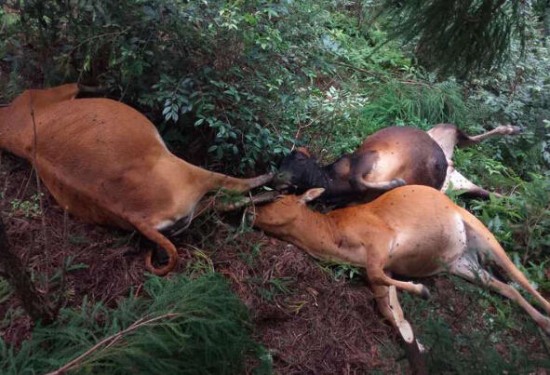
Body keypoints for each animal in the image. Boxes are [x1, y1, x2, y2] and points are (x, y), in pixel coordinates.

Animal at [0, 83, 274, 276]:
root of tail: (136, 215)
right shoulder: (51, 91)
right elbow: (78, 83)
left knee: (220, 204)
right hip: (187, 172)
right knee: (233, 188)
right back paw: (270, 181)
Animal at [252, 188, 550, 374]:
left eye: (278, 198)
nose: (251, 211)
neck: (331, 237)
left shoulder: (381, 239)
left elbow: (379, 280)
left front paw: (422, 291)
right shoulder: (385, 267)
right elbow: (388, 306)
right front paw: (417, 343)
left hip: (481, 230)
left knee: (520, 278)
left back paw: (546, 317)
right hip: (462, 264)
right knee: (507, 288)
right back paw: (541, 321)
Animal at [278, 123, 524, 206]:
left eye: (297, 158)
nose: (278, 177)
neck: (333, 180)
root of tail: (449, 162)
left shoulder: (367, 157)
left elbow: (358, 180)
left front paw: (396, 182)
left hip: (446, 128)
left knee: (467, 137)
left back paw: (511, 129)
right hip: (465, 189)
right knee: (494, 194)